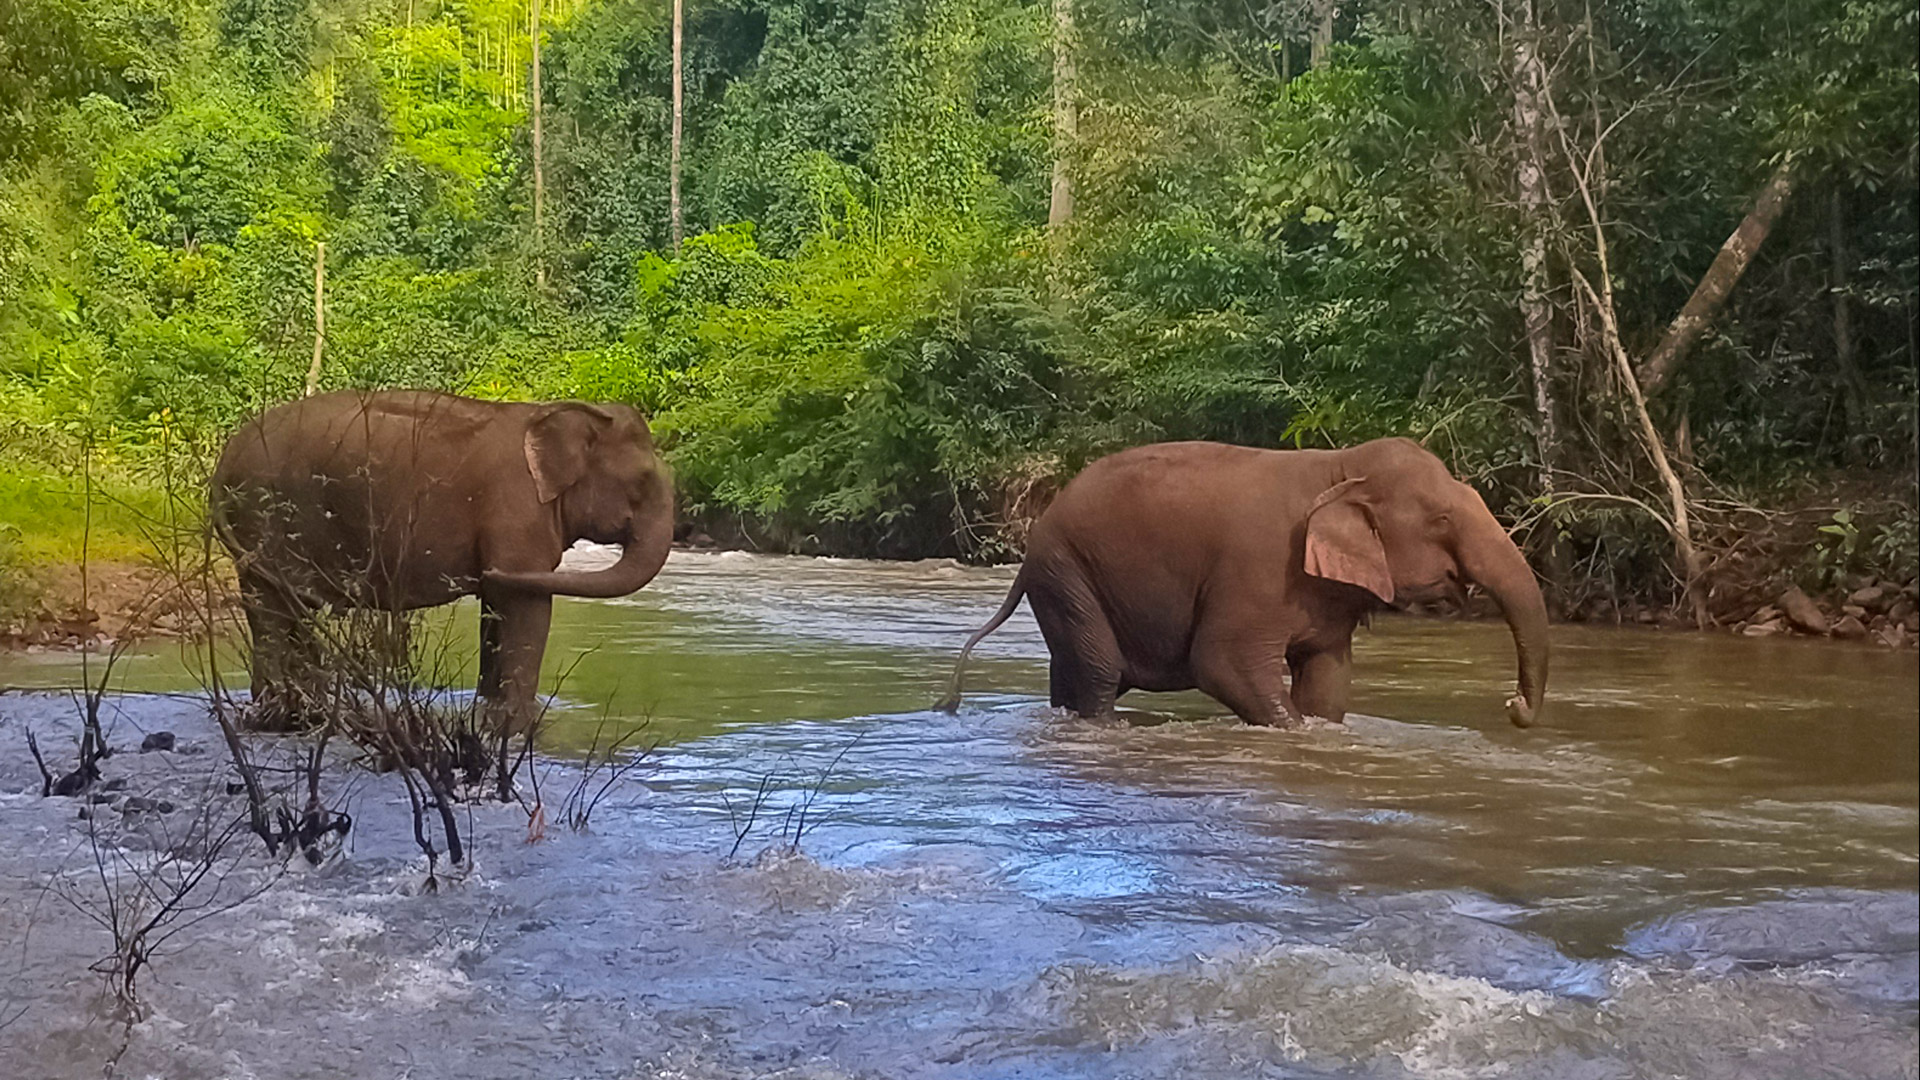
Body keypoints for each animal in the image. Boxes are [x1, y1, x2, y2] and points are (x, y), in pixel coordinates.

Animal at [210, 389, 674, 734]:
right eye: (641, 482)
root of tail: (223, 460)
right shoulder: (518, 510)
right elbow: (525, 608)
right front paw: (519, 729)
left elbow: (498, 609)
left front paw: (489, 720)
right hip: (265, 513)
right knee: (275, 610)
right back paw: (285, 714)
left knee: (286, 608)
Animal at [940, 437, 1548, 728]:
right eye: (1442, 519)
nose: (1513, 706)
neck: (1338, 467)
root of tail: (1027, 549)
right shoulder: (1260, 569)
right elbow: (1222, 663)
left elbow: (1327, 681)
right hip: (1066, 572)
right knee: (1100, 674)